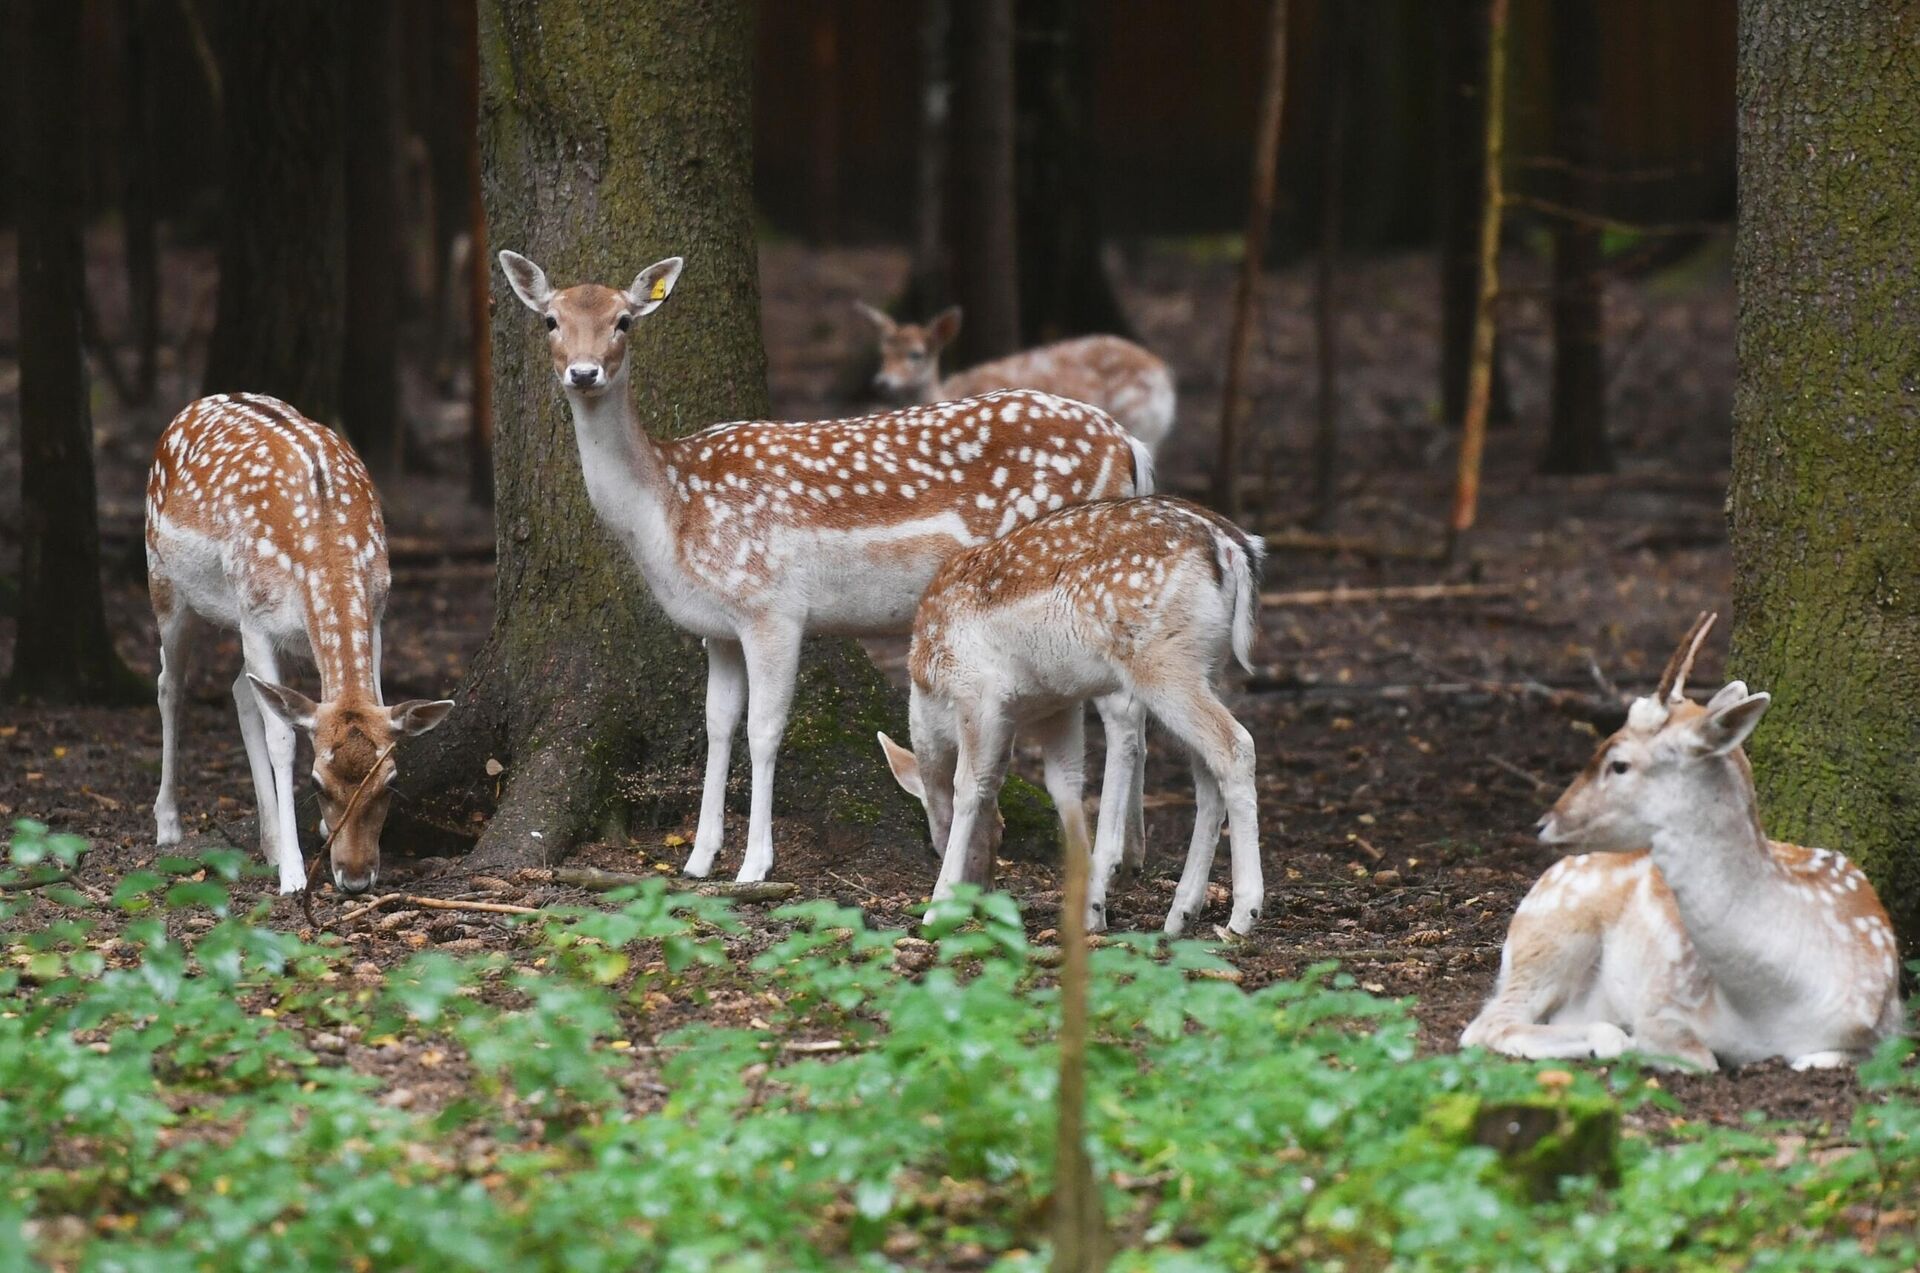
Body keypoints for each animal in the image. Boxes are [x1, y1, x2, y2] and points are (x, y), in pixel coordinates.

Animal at [144, 395, 455, 894]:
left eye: (390, 781)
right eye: (316, 784)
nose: (355, 878)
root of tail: (193, 407)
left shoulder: (376, 614)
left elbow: (368, 698)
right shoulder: (254, 615)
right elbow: (283, 738)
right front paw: (293, 873)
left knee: (240, 690)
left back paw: (268, 841)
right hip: (165, 581)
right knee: (170, 685)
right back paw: (169, 825)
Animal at [879, 499, 1267, 936]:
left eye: (938, 841)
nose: (980, 899)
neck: (929, 690)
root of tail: (1232, 546)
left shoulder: (978, 692)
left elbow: (969, 788)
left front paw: (936, 908)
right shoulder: (1058, 703)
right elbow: (1065, 787)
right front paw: (1091, 910)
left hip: (1161, 660)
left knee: (1235, 745)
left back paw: (1243, 914)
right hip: (1209, 665)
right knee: (1206, 772)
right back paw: (1180, 914)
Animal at [1459, 618, 1896, 1075]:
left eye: (1619, 763)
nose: (1545, 823)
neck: (1775, 1006)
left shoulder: (1887, 1026)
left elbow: (1823, 1058)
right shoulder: (1664, 999)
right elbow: (1698, 1056)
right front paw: (1629, 1041)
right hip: (1553, 931)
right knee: (1488, 1023)